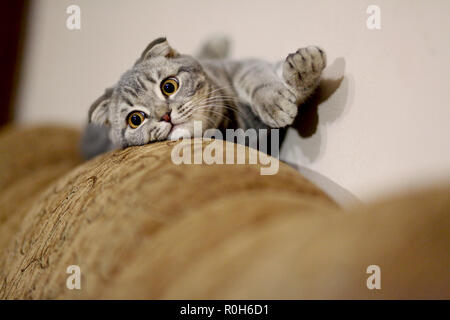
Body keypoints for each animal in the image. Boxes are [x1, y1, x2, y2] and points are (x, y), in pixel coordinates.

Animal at [81, 37, 326, 159]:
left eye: (168, 86)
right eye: (135, 119)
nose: (166, 116)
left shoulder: (241, 66)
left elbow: (257, 76)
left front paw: (303, 68)